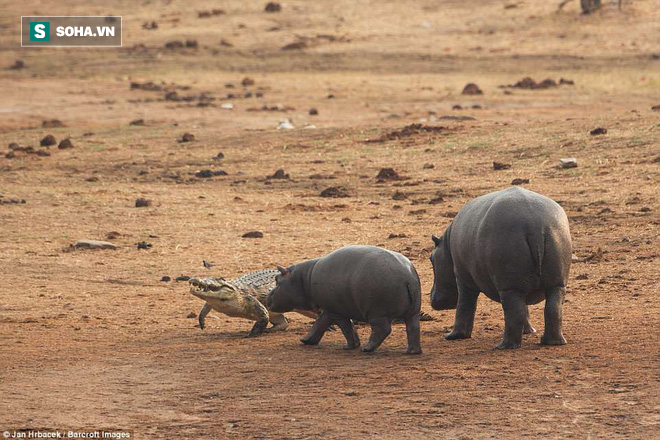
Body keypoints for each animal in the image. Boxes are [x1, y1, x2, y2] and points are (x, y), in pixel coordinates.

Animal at [264, 244, 422, 354]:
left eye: (276, 279)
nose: (267, 296)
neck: (304, 279)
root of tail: (407, 278)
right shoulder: (331, 309)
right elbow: (321, 324)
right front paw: (305, 340)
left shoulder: (336, 312)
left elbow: (345, 328)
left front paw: (350, 346)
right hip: (413, 312)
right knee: (413, 327)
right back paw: (412, 352)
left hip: (377, 313)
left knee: (382, 330)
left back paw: (367, 349)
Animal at [430, 187, 568, 348]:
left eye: (431, 258)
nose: (432, 297)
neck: (446, 244)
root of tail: (535, 225)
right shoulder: (522, 284)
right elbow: (526, 308)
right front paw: (528, 331)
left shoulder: (463, 278)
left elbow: (464, 306)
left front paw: (452, 336)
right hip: (554, 281)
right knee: (553, 309)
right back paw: (551, 342)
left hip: (508, 286)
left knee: (514, 313)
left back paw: (503, 346)